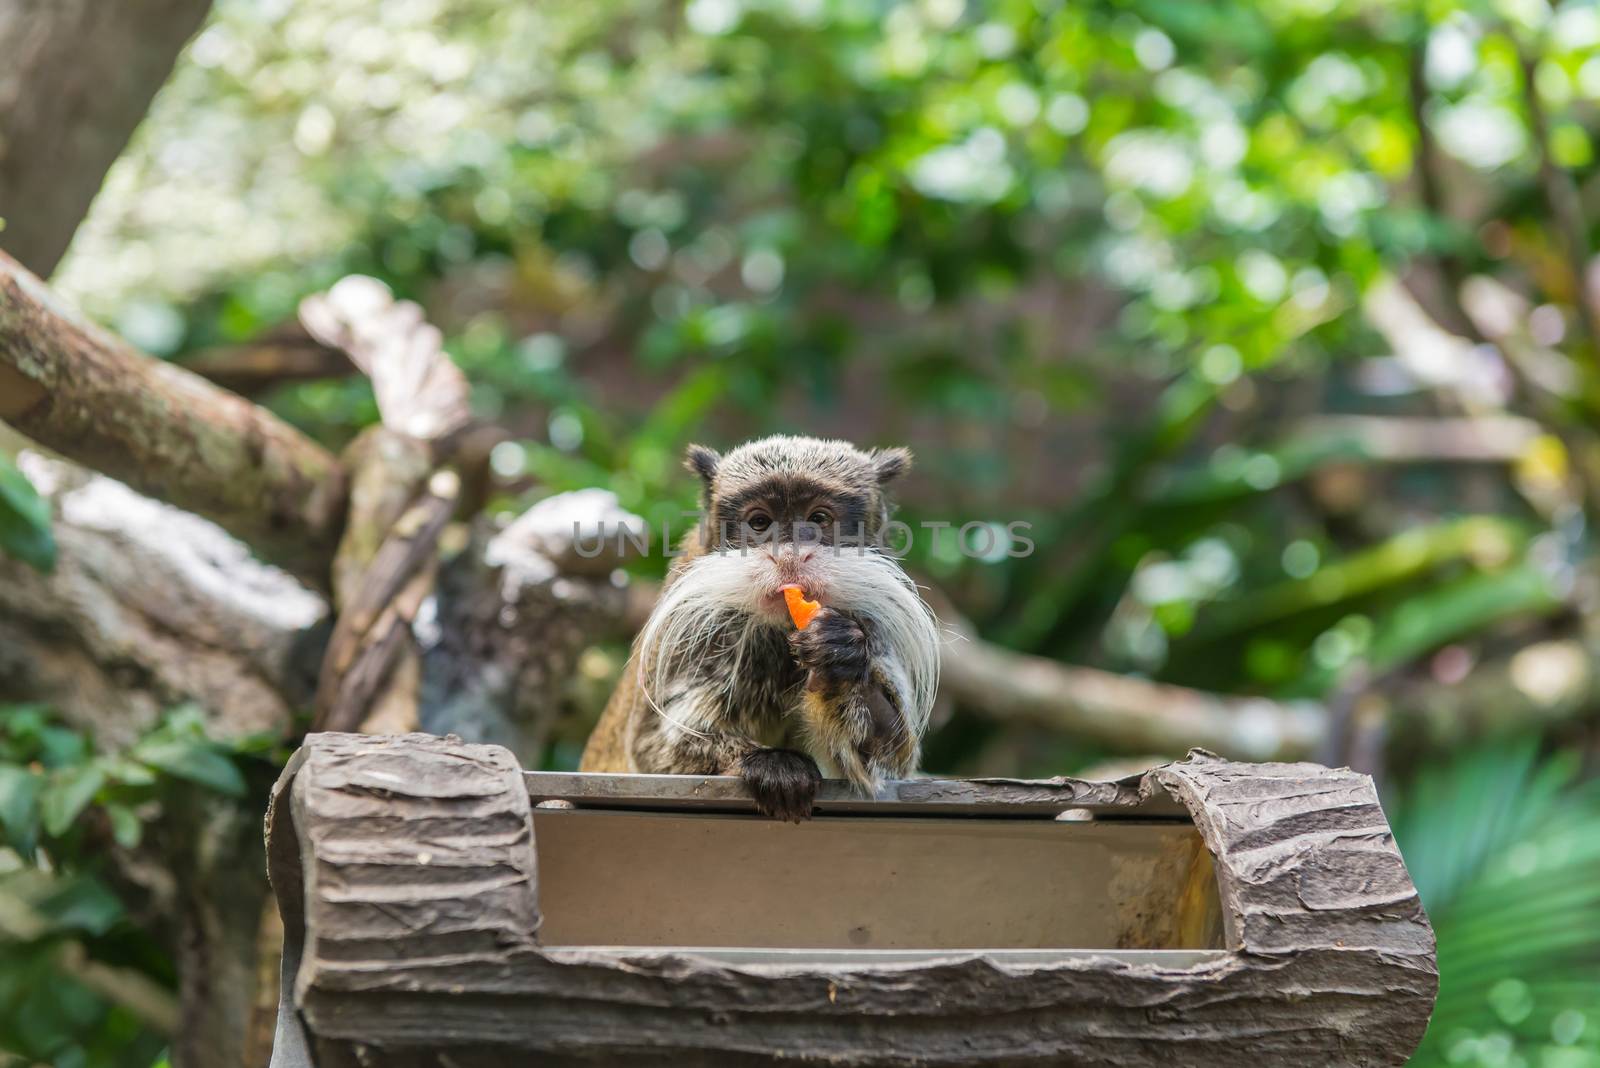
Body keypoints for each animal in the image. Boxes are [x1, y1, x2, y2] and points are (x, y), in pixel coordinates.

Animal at [585, 438, 934, 824]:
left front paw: (841, 656)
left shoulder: (873, 624)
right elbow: (655, 744)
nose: (789, 557)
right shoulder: (689, 628)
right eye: (760, 522)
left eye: (818, 518)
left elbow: (887, 755)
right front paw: (772, 765)